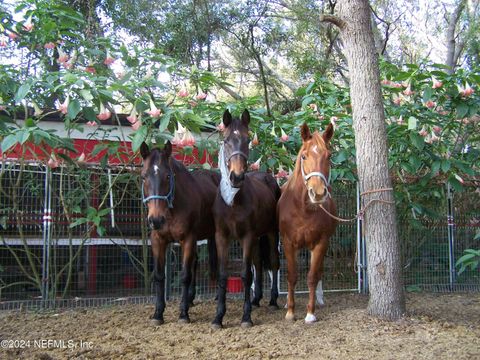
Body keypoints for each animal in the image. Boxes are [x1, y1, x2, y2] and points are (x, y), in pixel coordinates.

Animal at [140, 141, 220, 326]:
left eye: (168, 176)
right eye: (143, 176)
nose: (156, 219)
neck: (171, 209)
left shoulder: (188, 239)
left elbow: (184, 275)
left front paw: (183, 314)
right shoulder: (158, 240)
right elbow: (159, 275)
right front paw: (158, 313)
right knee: (195, 262)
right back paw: (190, 299)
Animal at [211, 110, 282, 330]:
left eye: (247, 139)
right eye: (226, 140)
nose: (236, 177)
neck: (233, 201)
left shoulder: (247, 237)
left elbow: (245, 274)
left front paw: (246, 317)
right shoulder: (222, 237)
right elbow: (222, 274)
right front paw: (218, 317)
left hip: (271, 233)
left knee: (273, 262)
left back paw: (273, 301)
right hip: (259, 237)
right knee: (258, 263)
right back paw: (256, 299)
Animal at [276, 121, 340, 324]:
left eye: (329, 156)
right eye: (304, 156)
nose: (318, 193)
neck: (303, 209)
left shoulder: (321, 243)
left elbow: (312, 276)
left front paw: (310, 313)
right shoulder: (288, 242)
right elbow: (292, 275)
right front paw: (290, 311)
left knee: (318, 272)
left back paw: (319, 299)